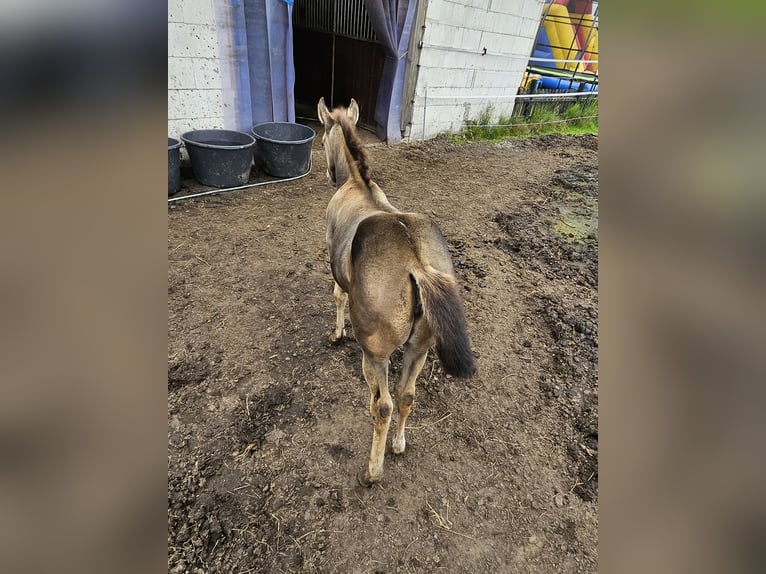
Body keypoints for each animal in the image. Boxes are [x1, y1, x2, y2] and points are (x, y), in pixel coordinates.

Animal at [316, 98, 474, 486]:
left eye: (323, 137)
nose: (327, 174)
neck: (358, 184)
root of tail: (416, 263)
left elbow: (337, 296)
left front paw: (337, 334)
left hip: (376, 354)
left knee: (384, 405)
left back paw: (373, 470)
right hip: (419, 349)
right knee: (407, 395)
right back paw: (399, 445)